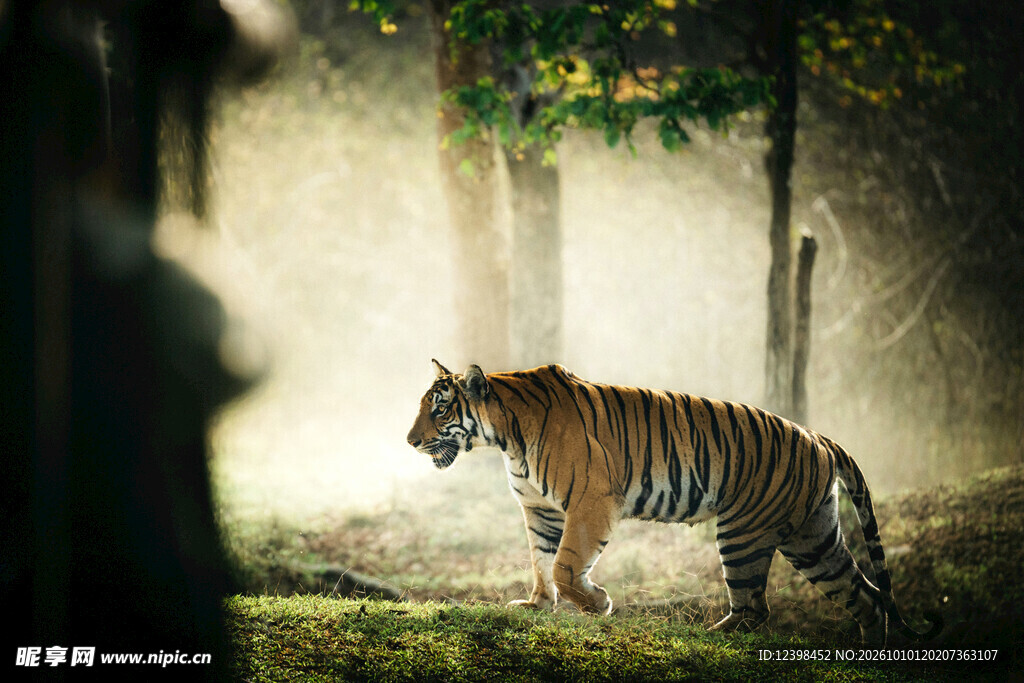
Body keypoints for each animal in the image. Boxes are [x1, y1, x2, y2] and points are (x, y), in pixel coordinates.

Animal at [406, 360, 942, 644]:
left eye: (441, 409)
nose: (410, 442)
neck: (506, 437)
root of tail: (819, 437)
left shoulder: (591, 501)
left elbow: (564, 565)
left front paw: (598, 604)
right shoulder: (539, 510)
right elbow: (541, 563)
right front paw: (536, 605)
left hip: (744, 533)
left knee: (756, 607)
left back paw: (709, 636)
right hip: (813, 538)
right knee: (864, 596)